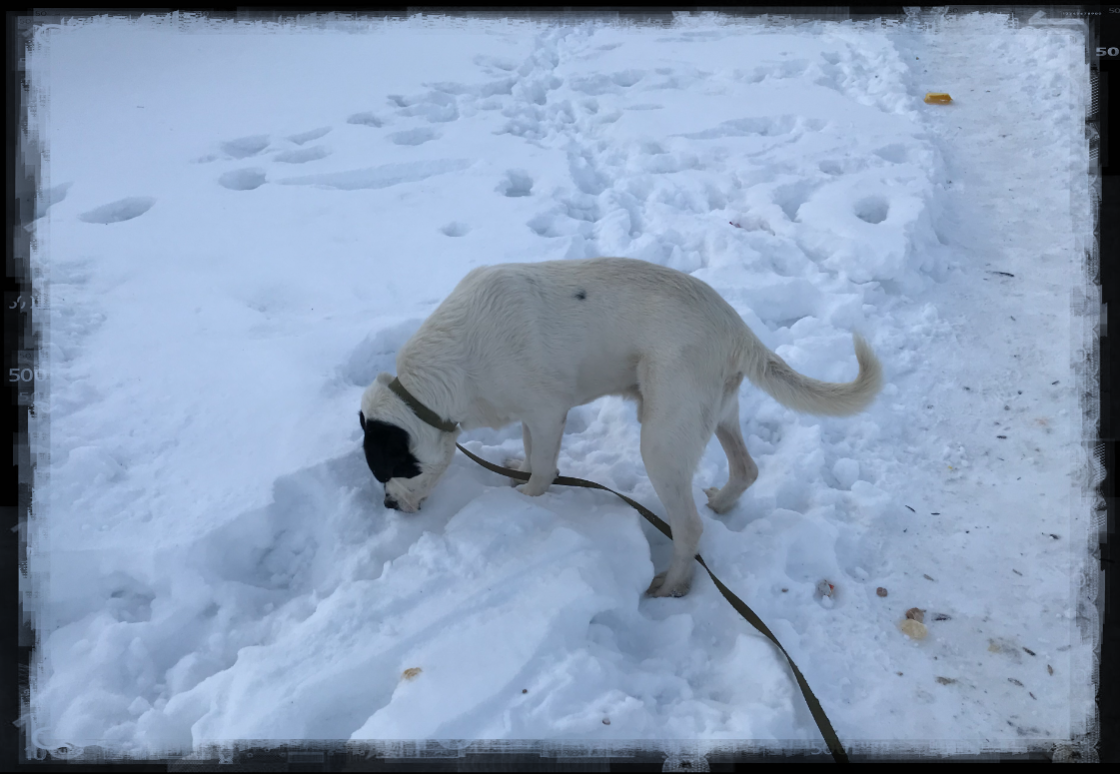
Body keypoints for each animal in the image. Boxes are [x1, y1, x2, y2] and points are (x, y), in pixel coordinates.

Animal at [358, 257, 882, 595]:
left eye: (386, 471)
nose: (387, 506)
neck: (447, 373)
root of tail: (737, 329)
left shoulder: (547, 412)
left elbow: (544, 468)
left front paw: (527, 498)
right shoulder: (532, 415)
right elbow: (531, 452)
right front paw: (517, 467)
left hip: (662, 439)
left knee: (689, 527)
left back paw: (670, 586)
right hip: (715, 413)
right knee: (746, 469)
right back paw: (723, 504)